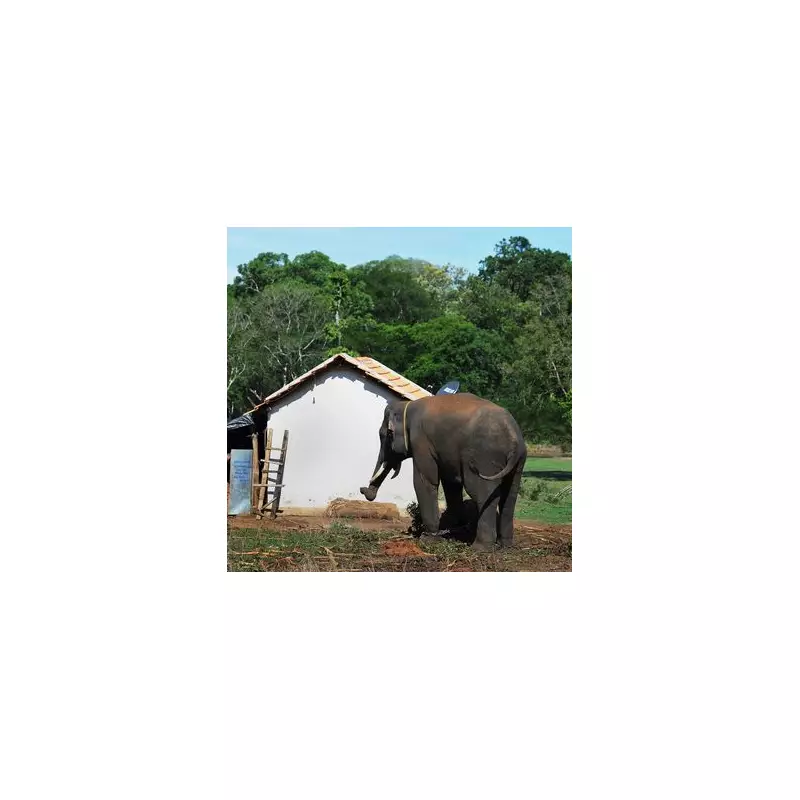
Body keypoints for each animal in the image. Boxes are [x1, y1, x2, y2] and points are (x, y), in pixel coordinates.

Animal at [359, 393, 527, 551]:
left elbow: (424, 481)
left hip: (485, 457)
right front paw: (449, 532)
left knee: (482, 494)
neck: (407, 405)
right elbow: (451, 484)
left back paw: (480, 548)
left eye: (385, 435)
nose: (364, 490)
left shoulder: (421, 441)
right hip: (519, 462)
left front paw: (428, 539)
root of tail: (513, 435)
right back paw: (505, 545)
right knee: (509, 497)